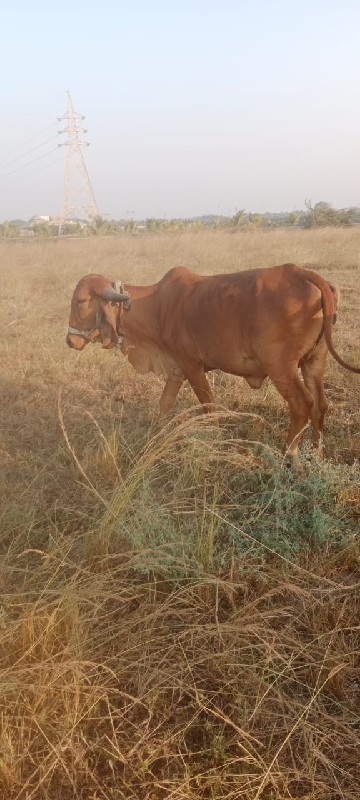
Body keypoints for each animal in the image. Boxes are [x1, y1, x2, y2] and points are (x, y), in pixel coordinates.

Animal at [66, 264, 358, 462]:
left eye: (80, 301)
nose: (70, 341)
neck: (156, 305)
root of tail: (303, 273)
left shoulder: (192, 366)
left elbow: (209, 407)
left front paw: (216, 441)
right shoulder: (176, 369)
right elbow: (165, 404)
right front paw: (156, 435)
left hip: (280, 367)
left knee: (302, 404)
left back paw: (289, 455)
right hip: (314, 361)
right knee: (321, 404)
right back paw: (316, 452)